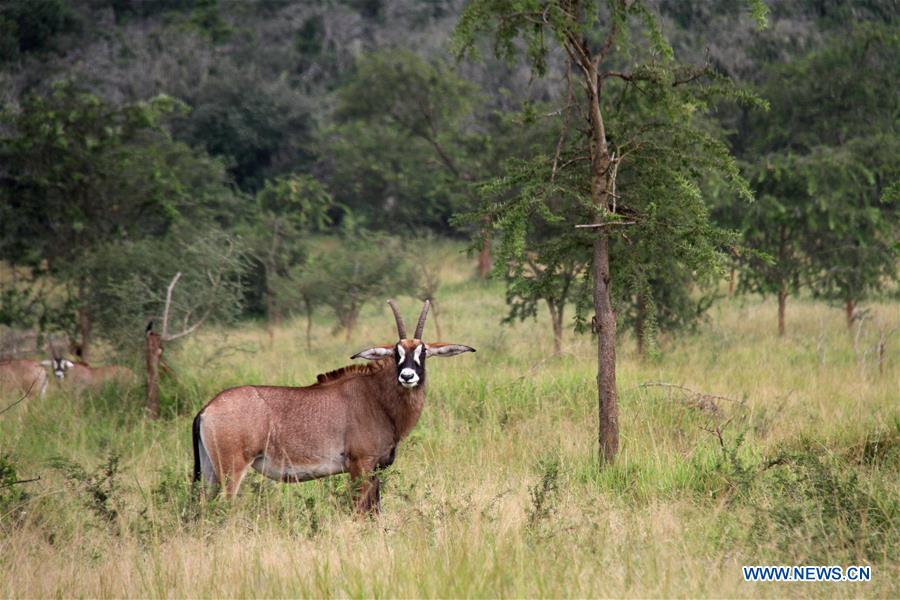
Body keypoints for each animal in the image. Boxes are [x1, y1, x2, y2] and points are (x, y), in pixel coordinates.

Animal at [189, 298, 472, 512]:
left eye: (423, 352)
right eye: (396, 353)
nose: (407, 376)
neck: (377, 398)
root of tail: (207, 409)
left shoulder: (375, 469)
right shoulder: (361, 464)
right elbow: (362, 511)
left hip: (210, 472)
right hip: (232, 469)